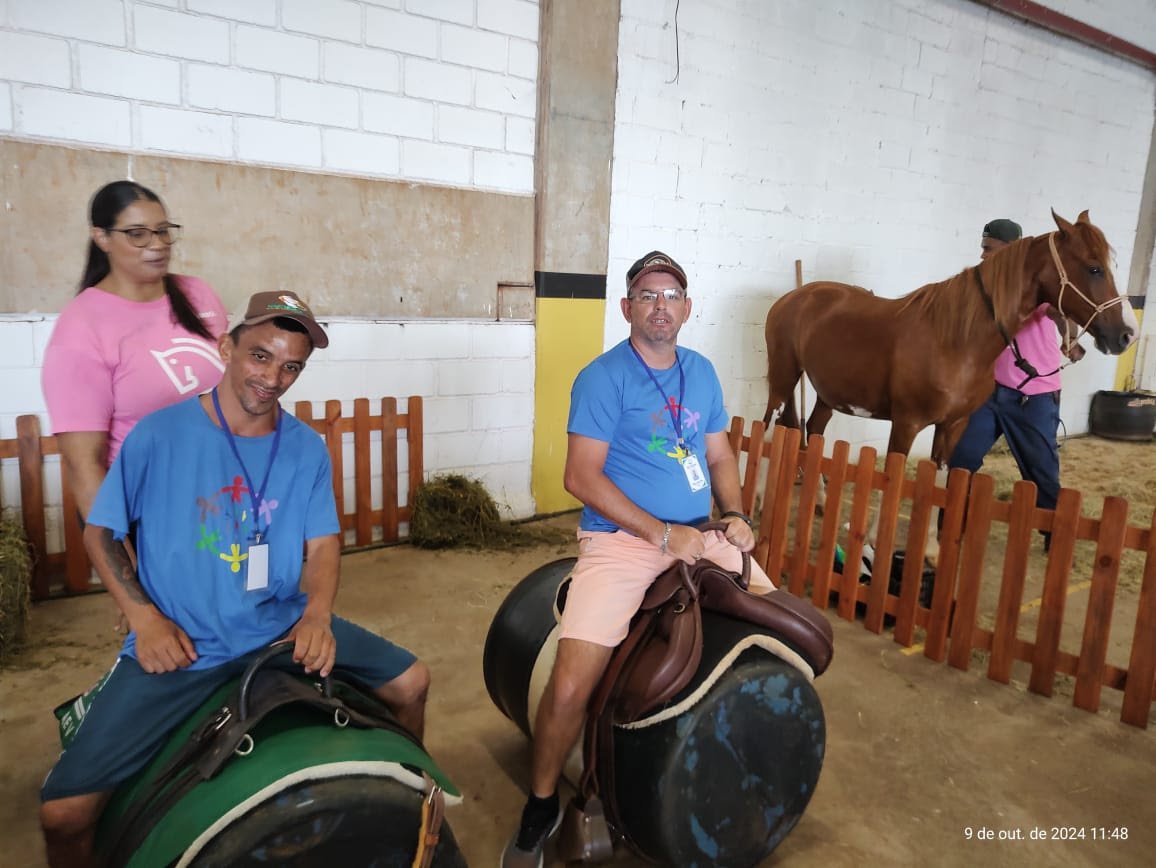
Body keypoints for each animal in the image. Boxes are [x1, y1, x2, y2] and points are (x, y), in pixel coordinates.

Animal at [762, 211, 1132, 464]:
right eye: (1094, 268)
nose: (1126, 334)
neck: (957, 343)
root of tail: (794, 297)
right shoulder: (906, 424)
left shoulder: (954, 426)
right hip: (782, 381)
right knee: (767, 428)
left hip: (829, 393)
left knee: (814, 430)